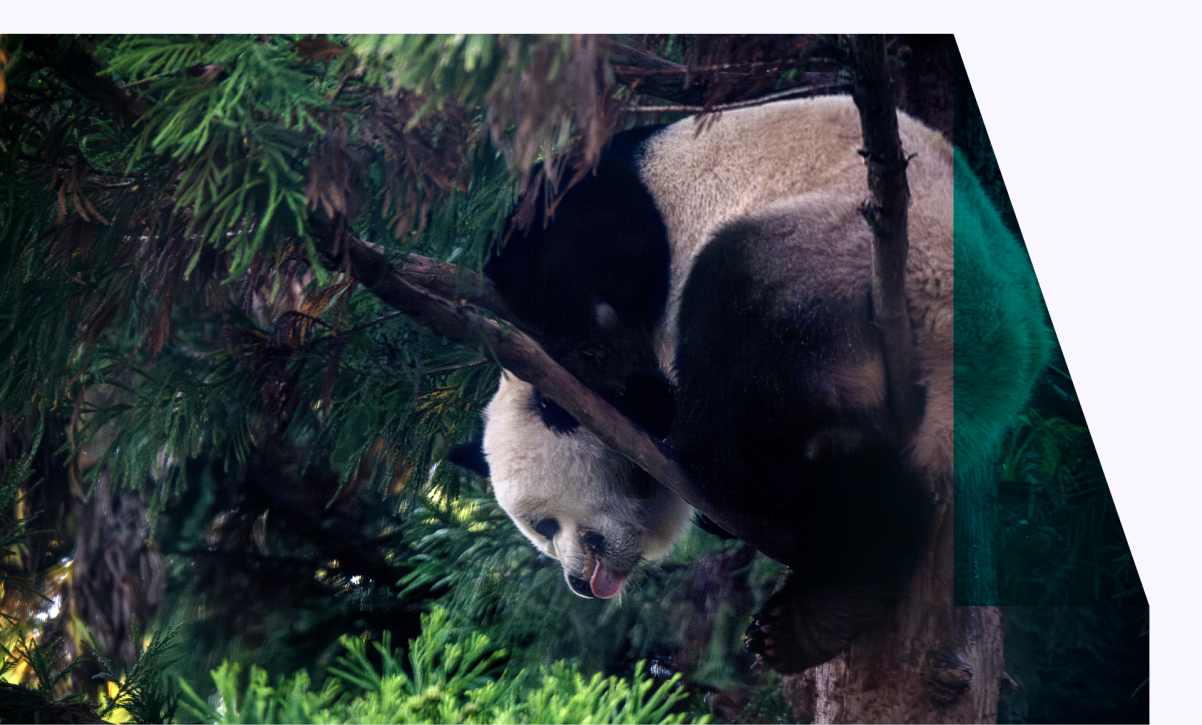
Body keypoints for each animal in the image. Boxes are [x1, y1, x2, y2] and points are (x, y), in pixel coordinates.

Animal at [447, 96, 1048, 673]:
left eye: (545, 523)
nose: (577, 583)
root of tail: (975, 354)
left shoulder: (605, 211)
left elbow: (591, 269)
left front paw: (611, 381)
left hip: (836, 262)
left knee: (734, 319)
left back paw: (721, 472)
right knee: (886, 496)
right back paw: (819, 616)